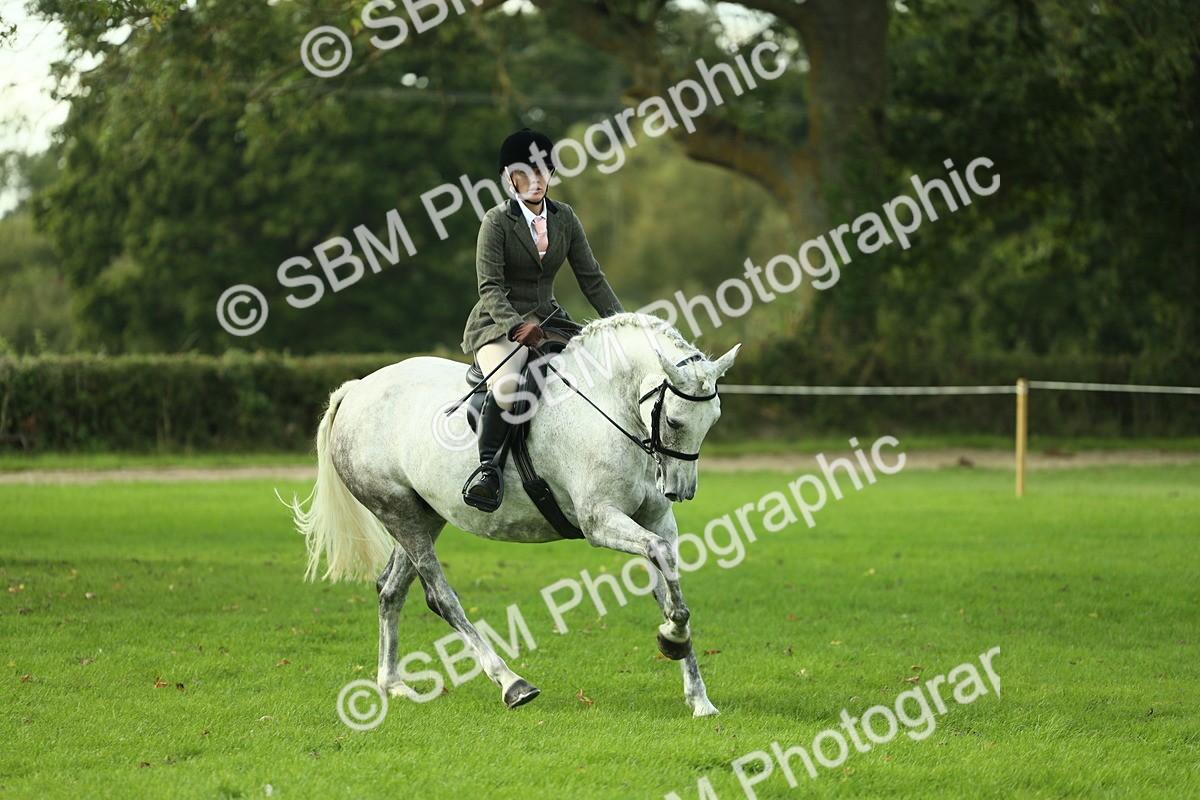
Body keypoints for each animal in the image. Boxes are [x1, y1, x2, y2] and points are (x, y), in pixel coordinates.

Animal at [284, 312, 740, 716]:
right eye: (675, 421)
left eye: (714, 419)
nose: (680, 491)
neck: (610, 406)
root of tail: (357, 389)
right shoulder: (600, 521)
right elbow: (660, 556)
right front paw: (674, 638)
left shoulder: (655, 520)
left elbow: (667, 572)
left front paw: (695, 688)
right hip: (397, 512)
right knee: (441, 597)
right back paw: (511, 683)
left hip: (424, 515)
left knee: (390, 589)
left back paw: (392, 684)